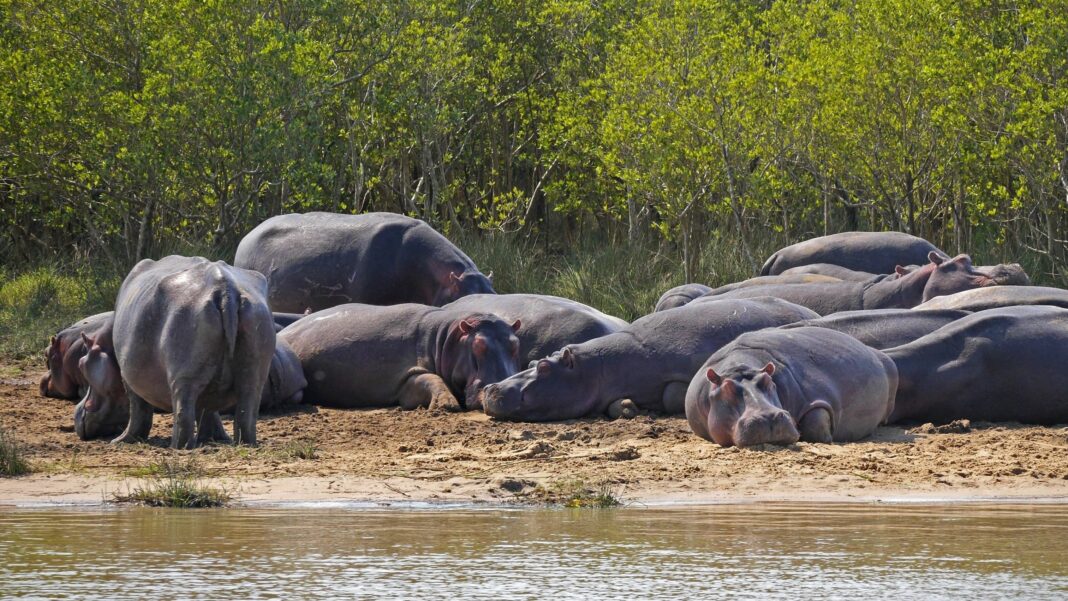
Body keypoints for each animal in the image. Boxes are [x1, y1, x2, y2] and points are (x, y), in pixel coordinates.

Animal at [76, 256, 275, 448]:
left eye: (82, 365)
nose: (77, 414)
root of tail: (226, 290)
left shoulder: (128, 376)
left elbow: (138, 409)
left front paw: (120, 440)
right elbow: (208, 411)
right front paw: (214, 438)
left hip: (183, 375)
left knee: (182, 412)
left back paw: (176, 446)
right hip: (253, 368)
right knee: (246, 411)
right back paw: (246, 443)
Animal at [279, 303, 521, 411]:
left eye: (515, 344)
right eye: (478, 345)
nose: (498, 388)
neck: (446, 338)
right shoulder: (405, 376)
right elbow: (431, 379)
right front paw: (446, 404)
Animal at [478, 298, 819, 422]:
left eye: (545, 367)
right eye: (530, 364)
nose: (491, 388)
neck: (598, 368)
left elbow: (671, 393)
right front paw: (628, 407)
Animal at [686, 327, 897, 447]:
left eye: (768, 380)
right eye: (727, 387)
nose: (768, 417)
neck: (740, 366)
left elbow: (816, 424)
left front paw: (829, 437)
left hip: (890, 365)